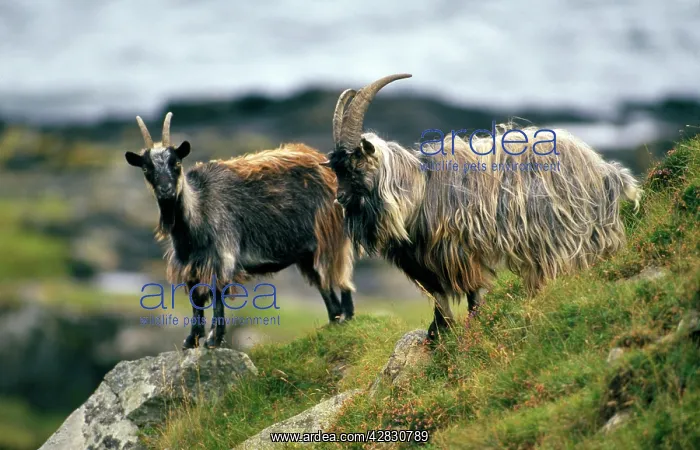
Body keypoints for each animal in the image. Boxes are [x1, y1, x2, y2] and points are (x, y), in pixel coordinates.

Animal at [125, 112, 355, 349]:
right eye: (146, 168)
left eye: (176, 163)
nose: (166, 190)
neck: (198, 210)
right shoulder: (191, 265)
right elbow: (196, 300)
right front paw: (192, 340)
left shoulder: (221, 257)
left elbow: (217, 296)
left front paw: (214, 340)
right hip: (307, 253)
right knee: (324, 286)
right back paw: (334, 320)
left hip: (331, 236)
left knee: (341, 274)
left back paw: (347, 316)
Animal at [324, 74, 641, 340]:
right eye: (336, 169)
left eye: (355, 166)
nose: (339, 198)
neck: (420, 191)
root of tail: (605, 170)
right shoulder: (425, 263)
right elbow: (440, 299)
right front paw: (436, 335)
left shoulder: (460, 251)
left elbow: (472, 293)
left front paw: (466, 330)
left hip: (564, 233)